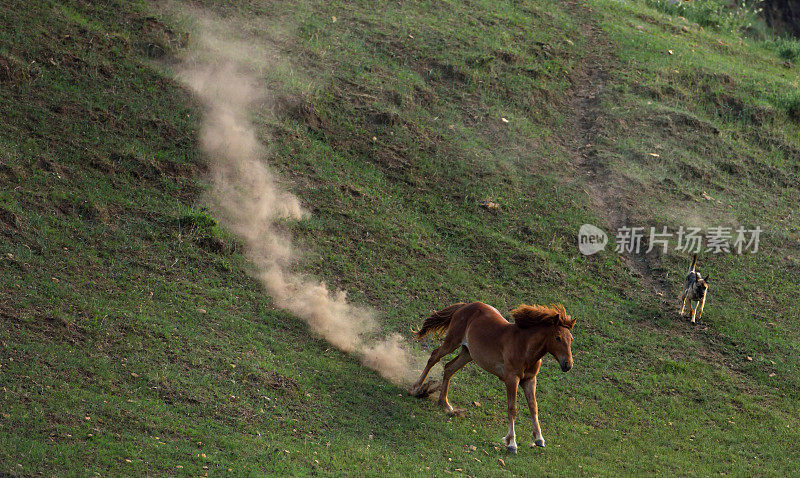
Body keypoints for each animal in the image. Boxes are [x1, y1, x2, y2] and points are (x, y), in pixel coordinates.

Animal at [410, 300, 572, 454]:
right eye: (557, 338)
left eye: (571, 338)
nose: (568, 364)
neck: (525, 346)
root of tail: (465, 306)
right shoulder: (512, 379)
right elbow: (512, 409)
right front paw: (512, 443)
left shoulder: (530, 380)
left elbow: (534, 407)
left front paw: (539, 439)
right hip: (452, 342)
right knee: (434, 357)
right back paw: (416, 388)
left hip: (468, 353)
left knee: (449, 368)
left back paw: (445, 404)